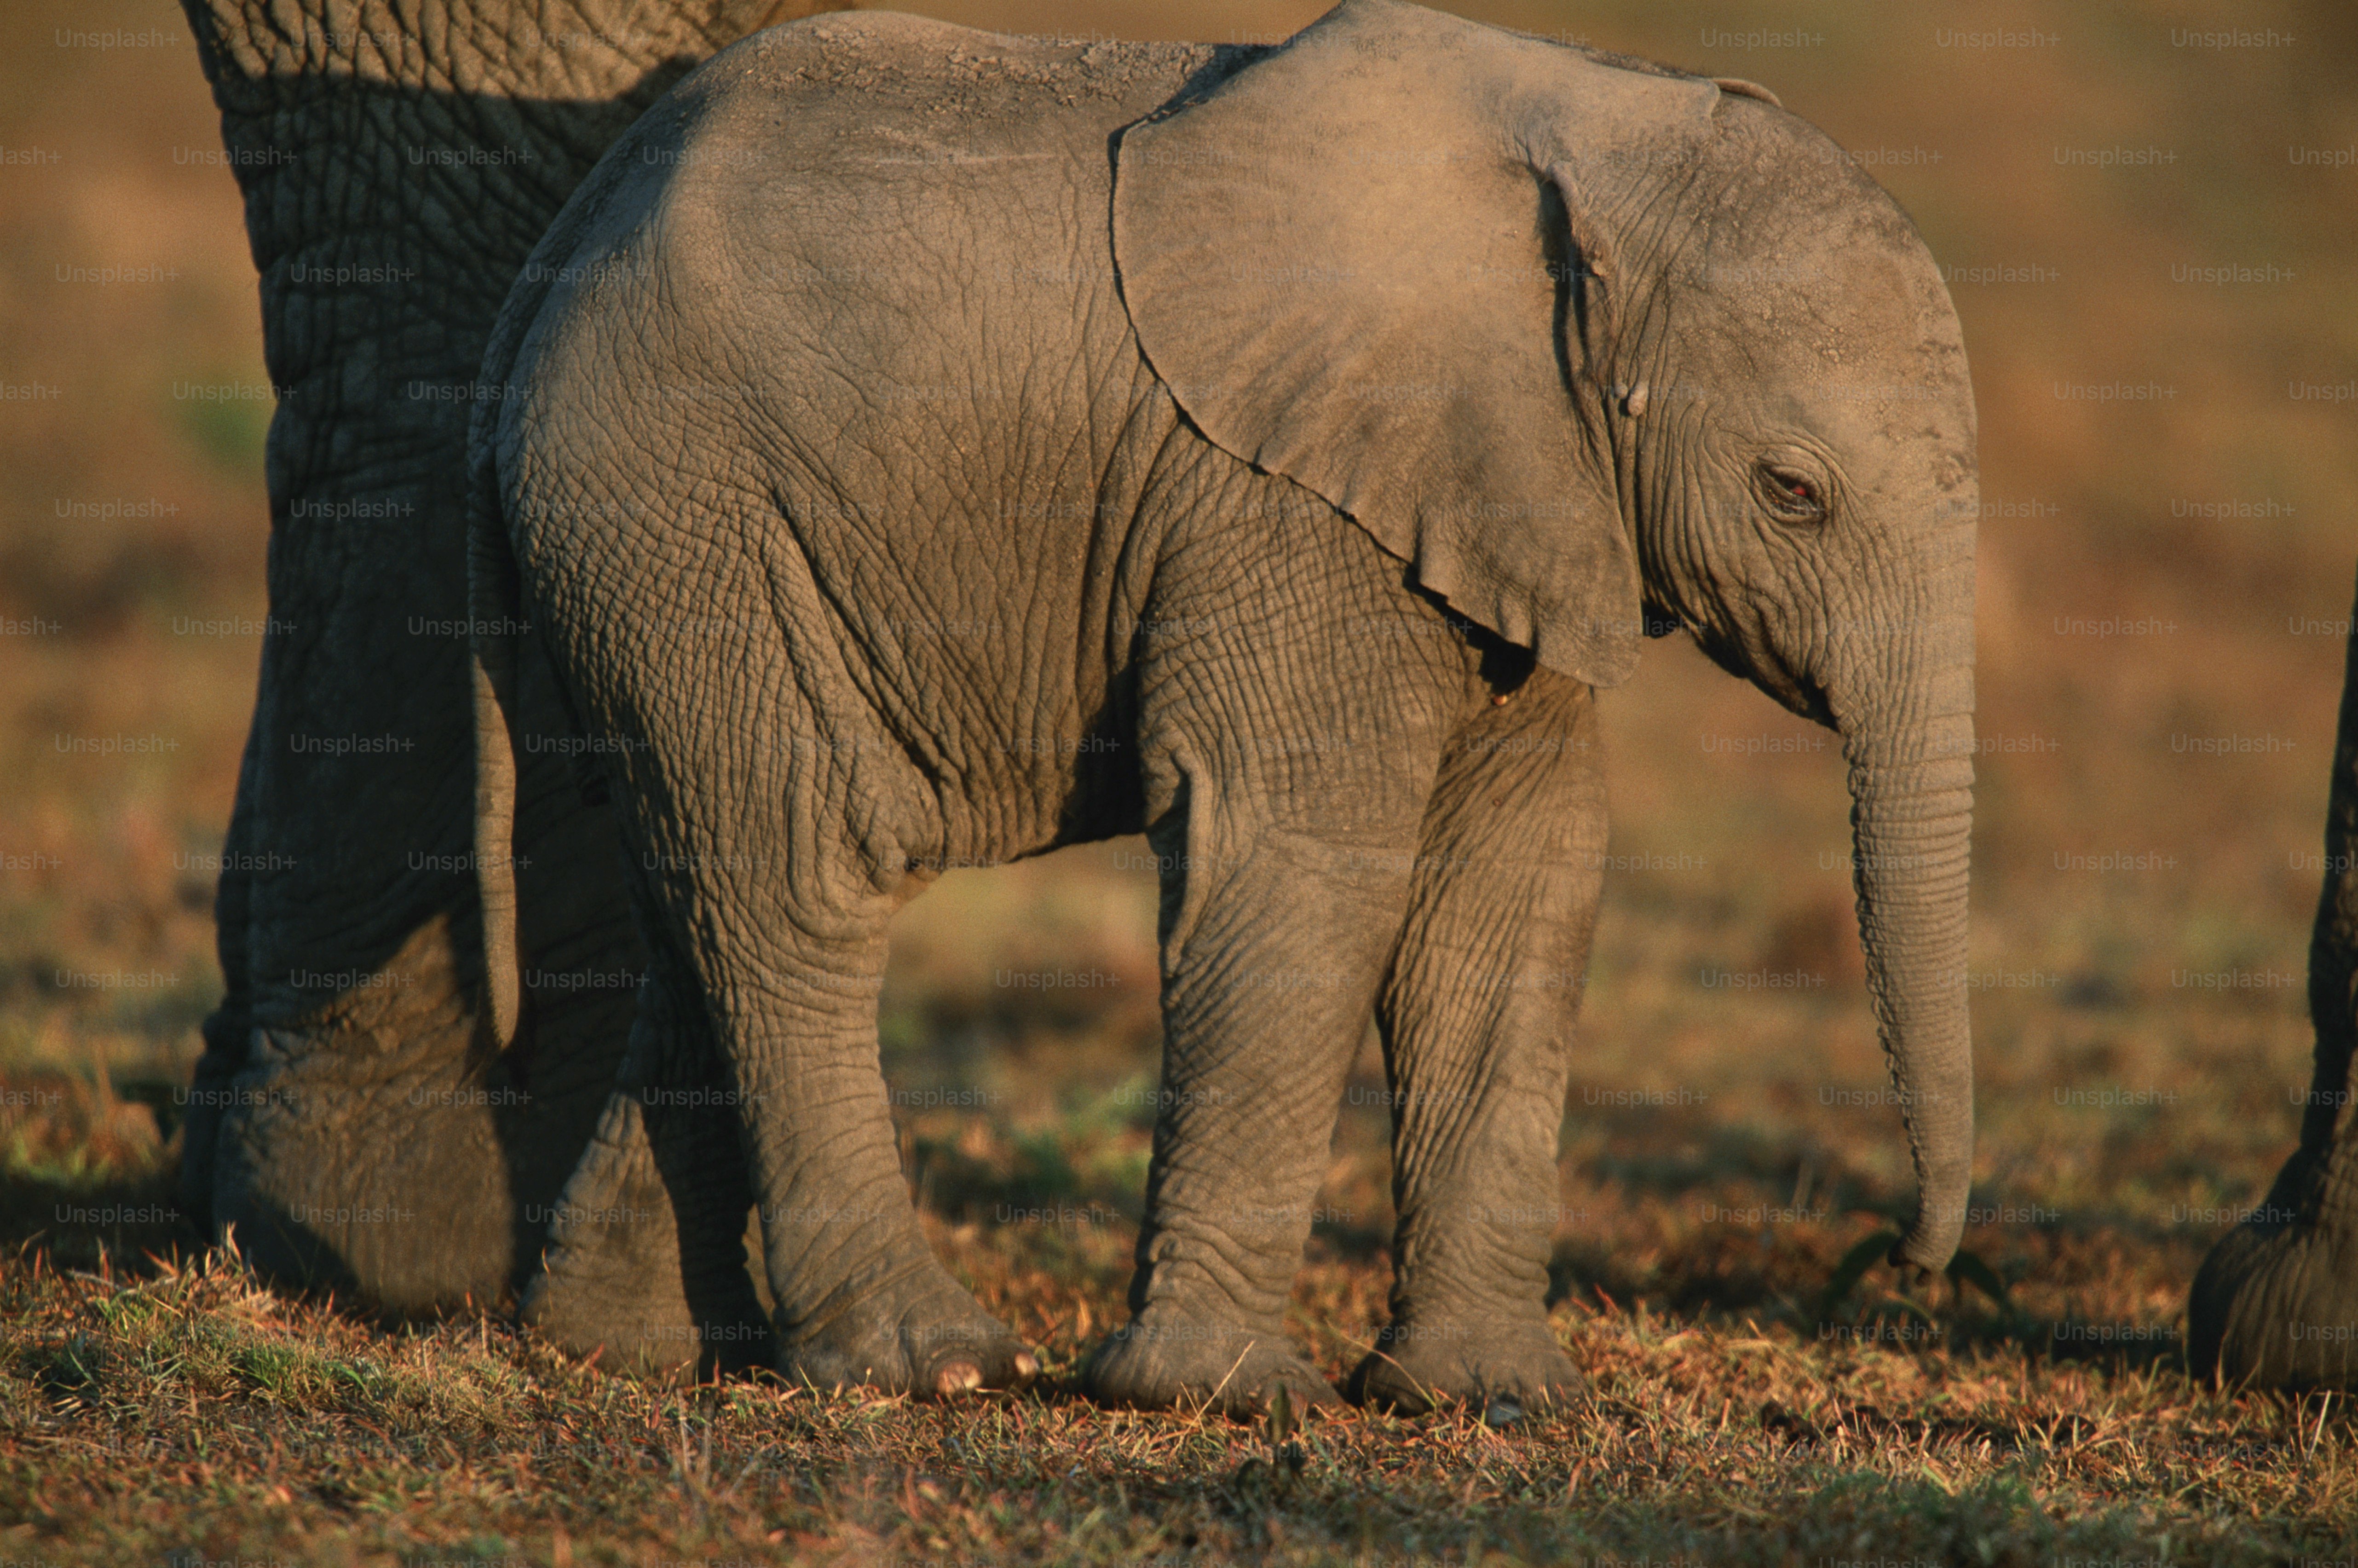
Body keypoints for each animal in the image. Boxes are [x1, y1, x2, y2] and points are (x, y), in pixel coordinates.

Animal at [465, 0, 1982, 1415]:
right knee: (804, 873)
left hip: (651, 550)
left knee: (692, 888)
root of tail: (552, 261)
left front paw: (1490, 1397)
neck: (1601, 134)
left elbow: (1515, 876)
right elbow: (1307, 855)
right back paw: (934, 1364)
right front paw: (1220, 1395)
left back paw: (627, 1345)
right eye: (1793, 492)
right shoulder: (1285, 494)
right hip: (680, 509)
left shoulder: (1521, 494)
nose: (1898, 1266)